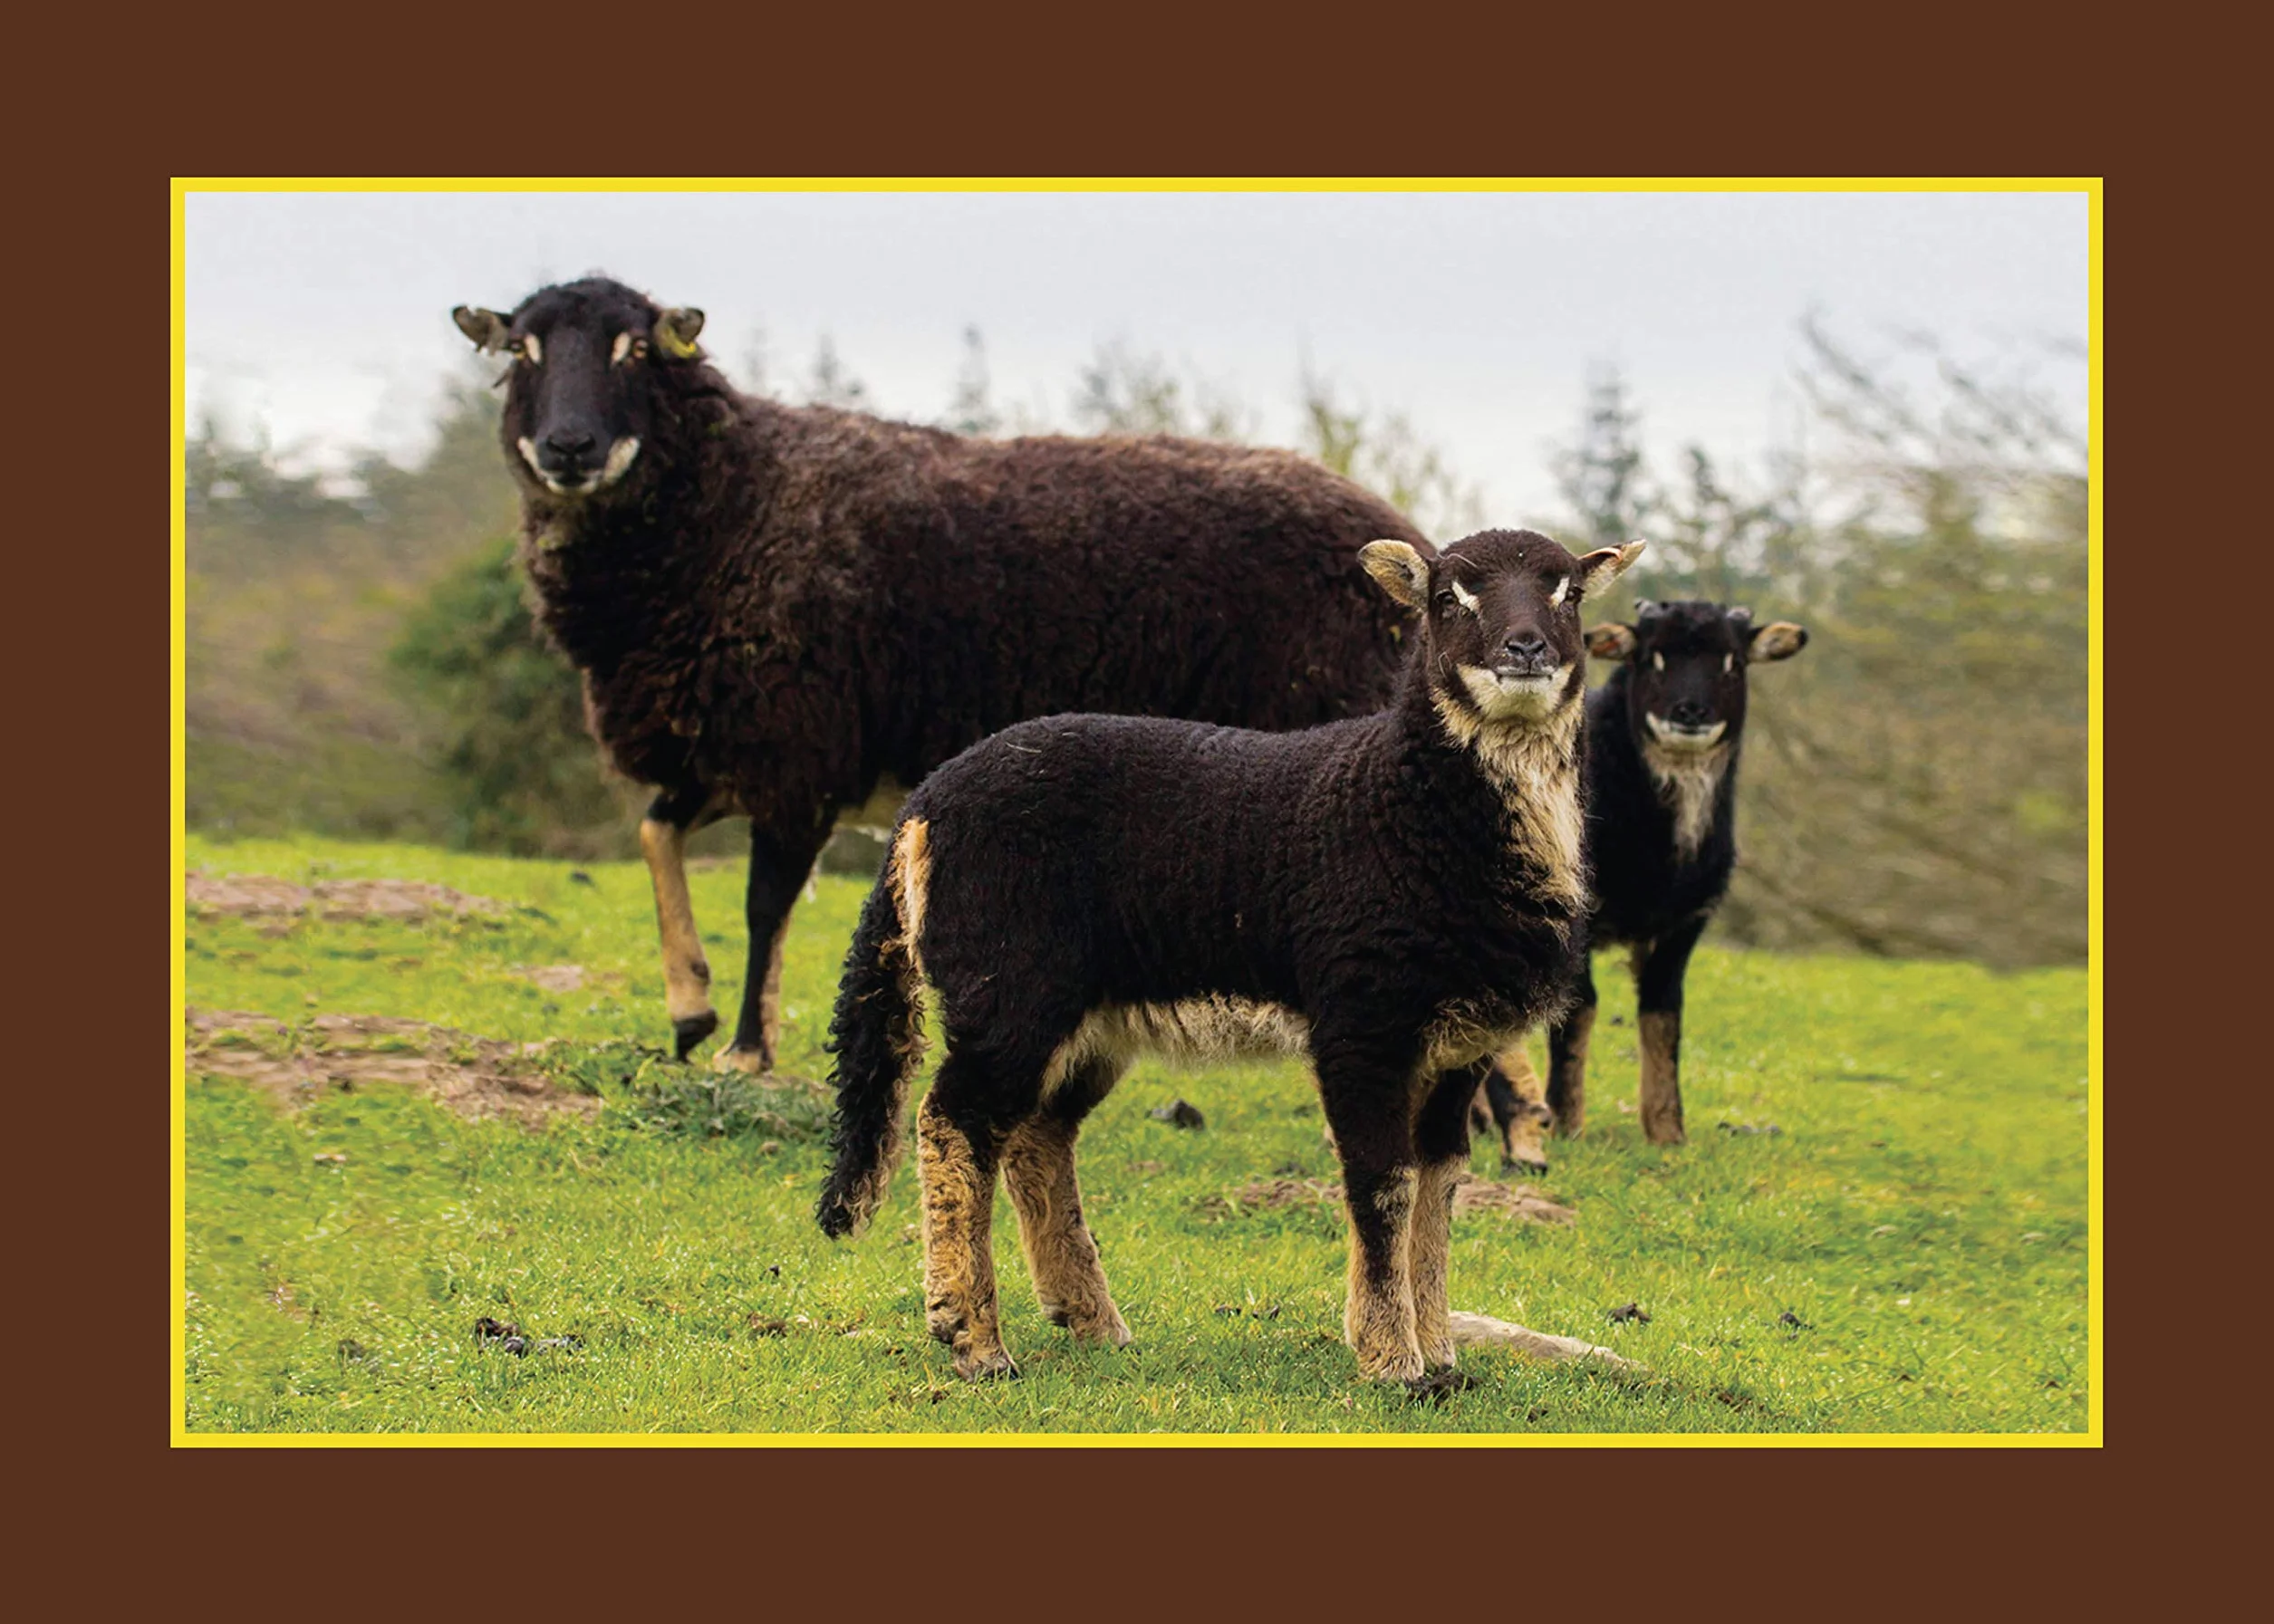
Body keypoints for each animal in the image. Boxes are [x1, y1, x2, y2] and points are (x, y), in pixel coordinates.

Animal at [450, 277, 1421, 1075]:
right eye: (522, 351)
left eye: (635, 350)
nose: (568, 446)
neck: (734, 503)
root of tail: (1400, 536)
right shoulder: (728, 742)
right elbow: (657, 834)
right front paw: (691, 1009)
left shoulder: (796, 746)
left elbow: (765, 903)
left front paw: (747, 1046)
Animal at [814, 528, 1644, 1387]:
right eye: (1448, 599)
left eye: (1568, 595)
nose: (1527, 647)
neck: (1403, 803)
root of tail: (924, 807)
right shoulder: (1362, 1020)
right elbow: (1383, 1183)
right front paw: (1391, 1359)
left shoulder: (1460, 1048)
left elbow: (1439, 1186)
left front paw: (1440, 1355)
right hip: (1009, 984)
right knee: (953, 1121)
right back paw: (974, 1337)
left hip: (1086, 1017)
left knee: (1038, 1138)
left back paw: (1092, 1322)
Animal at [1480, 599, 1808, 1162]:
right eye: (1653, 658)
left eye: (1733, 663)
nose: (1690, 712)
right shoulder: (1579, 913)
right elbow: (1580, 1008)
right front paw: (1567, 1120)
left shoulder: (1685, 922)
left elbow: (1663, 1015)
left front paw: (1667, 1131)